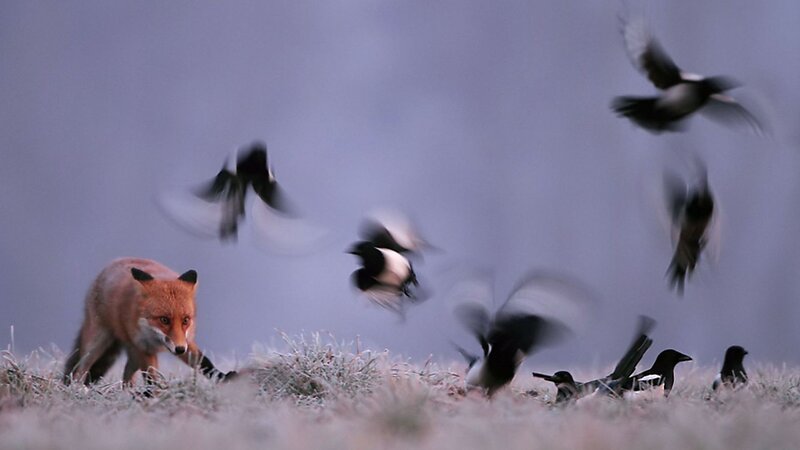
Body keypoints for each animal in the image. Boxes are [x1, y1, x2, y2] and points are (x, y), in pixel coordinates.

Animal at [63, 257, 236, 387]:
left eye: (186, 320)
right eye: (164, 320)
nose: (179, 350)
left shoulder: (185, 340)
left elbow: (203, 362)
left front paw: (223, 377)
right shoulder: (144, 347)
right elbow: (151, 376)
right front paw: (156, 394)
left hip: (132, 354)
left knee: (126, 377)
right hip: (98, 343)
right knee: (81, 368)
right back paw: (78, 389)